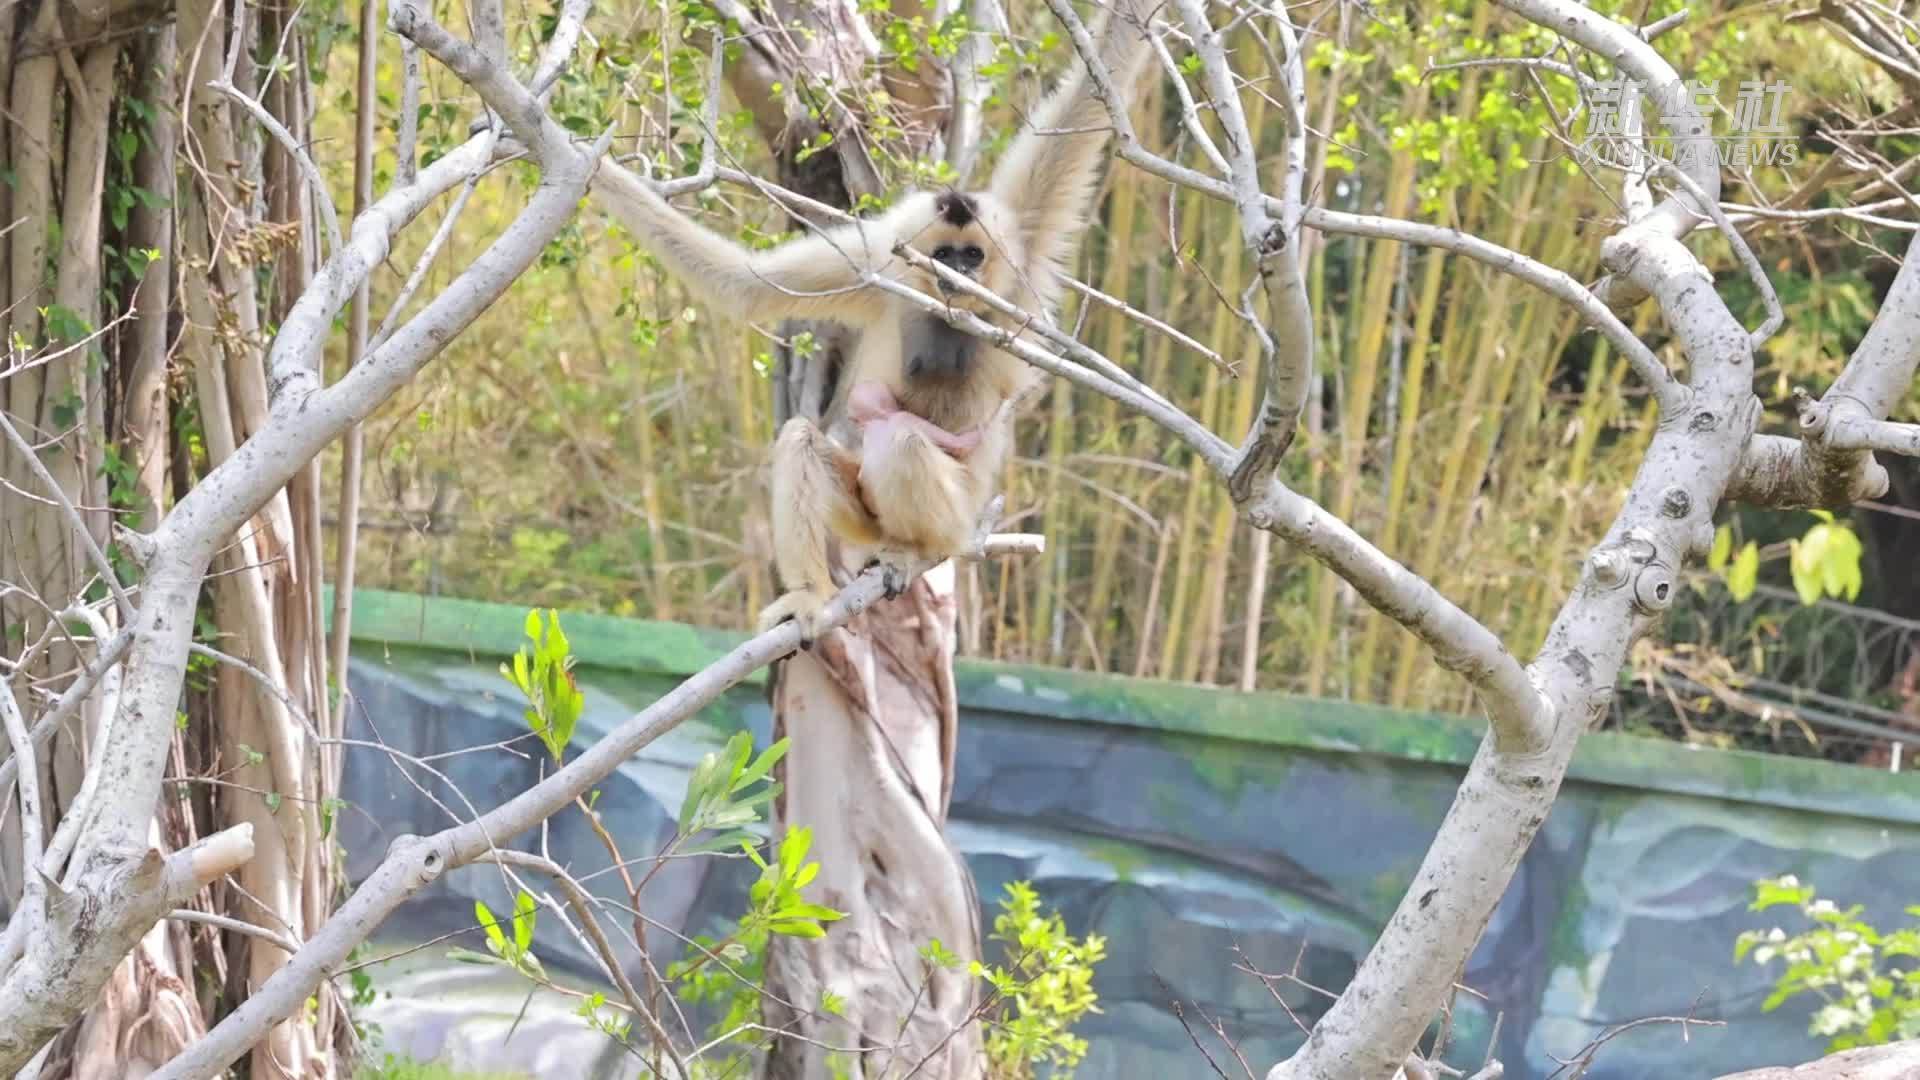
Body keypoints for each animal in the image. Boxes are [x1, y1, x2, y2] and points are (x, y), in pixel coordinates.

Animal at [593, 0, 1157, 643]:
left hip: (961, 519)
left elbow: (1090, 98)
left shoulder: (1022, 252)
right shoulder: (876, 264)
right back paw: (812, 596)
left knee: (903, 442)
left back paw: (913, 550)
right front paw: (579, 161)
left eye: (973, 256)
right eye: (945, 254)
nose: (957, 272)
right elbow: (747, 285)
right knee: (805, 438)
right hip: (862, 515)